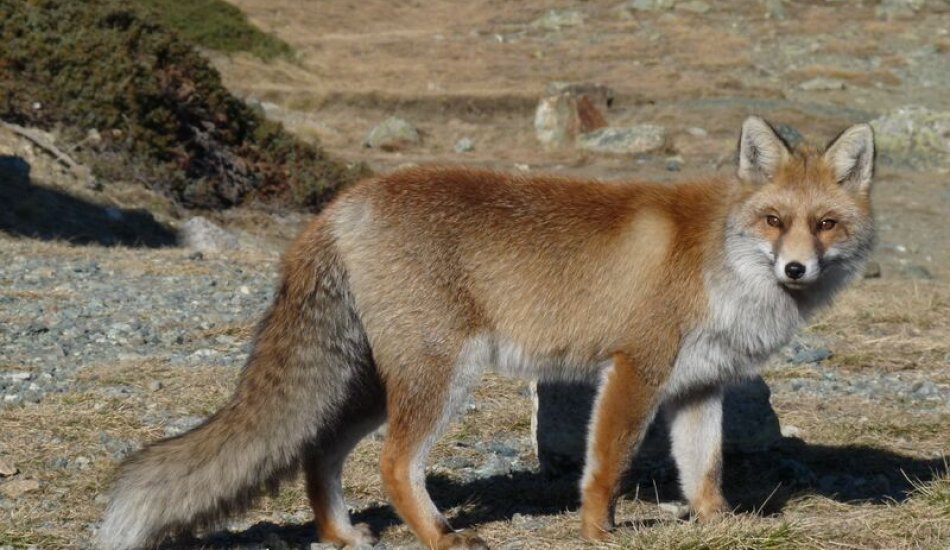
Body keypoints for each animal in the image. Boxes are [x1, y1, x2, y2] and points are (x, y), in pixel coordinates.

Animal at [99, 117, 875, 550]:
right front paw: (597, 534)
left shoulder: (699, 386)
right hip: (440, 376)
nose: (798, 268)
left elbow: (704, 469)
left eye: (825, 224)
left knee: (318, 450)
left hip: (375, 386)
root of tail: (339, 205)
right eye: (774, 220)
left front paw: (719, 526)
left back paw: (339, 534)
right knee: (393, 464)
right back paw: (440, 537)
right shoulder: (636, 367)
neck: (722, 260)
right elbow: (608, 466)